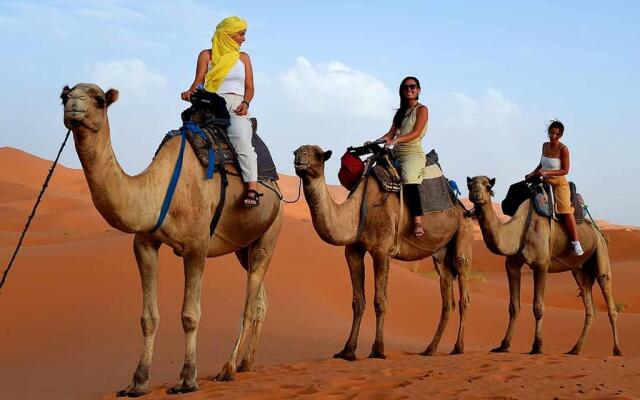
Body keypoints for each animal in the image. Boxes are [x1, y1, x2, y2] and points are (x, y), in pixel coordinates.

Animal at [62, 83, 282, 396]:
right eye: (64, 96)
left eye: (99, 99)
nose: (73, 106)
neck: (159, 187)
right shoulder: (144, 243)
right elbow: (148, 317)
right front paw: (138, 382)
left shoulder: (196, 245)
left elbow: (190, 315)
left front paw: (187, 379)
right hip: (244, 247)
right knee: (260, 298)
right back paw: (245, 363)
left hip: (270, 233)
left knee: (249, 304)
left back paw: (227, 368)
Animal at [292, 145, 472, 358]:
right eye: (296, 151)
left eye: (319, 155)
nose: (300, 160)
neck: (356, 212)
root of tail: (462, 207)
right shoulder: (353, 251)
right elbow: (358, 301)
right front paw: (347, 351)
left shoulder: (382, 250)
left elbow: (380, 301)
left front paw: (377, 350)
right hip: (442, 256)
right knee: (446, 301)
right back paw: (430, 349)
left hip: (463, 235)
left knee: (463, 295)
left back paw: (458, 348)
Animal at [468, 177, 624, 354]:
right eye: (470, 185)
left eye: (488, 186)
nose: (475, 194)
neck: (519, 228)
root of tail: (599, 232)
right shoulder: (512, 264)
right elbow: (513, 306)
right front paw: (503, 345)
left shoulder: (541, 264)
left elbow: (538, 307)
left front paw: (537, 346)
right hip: (579, 270)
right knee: (589, 305)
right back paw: (574, 349)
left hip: (601, 252)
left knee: (608, 296)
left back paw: (617, 350)